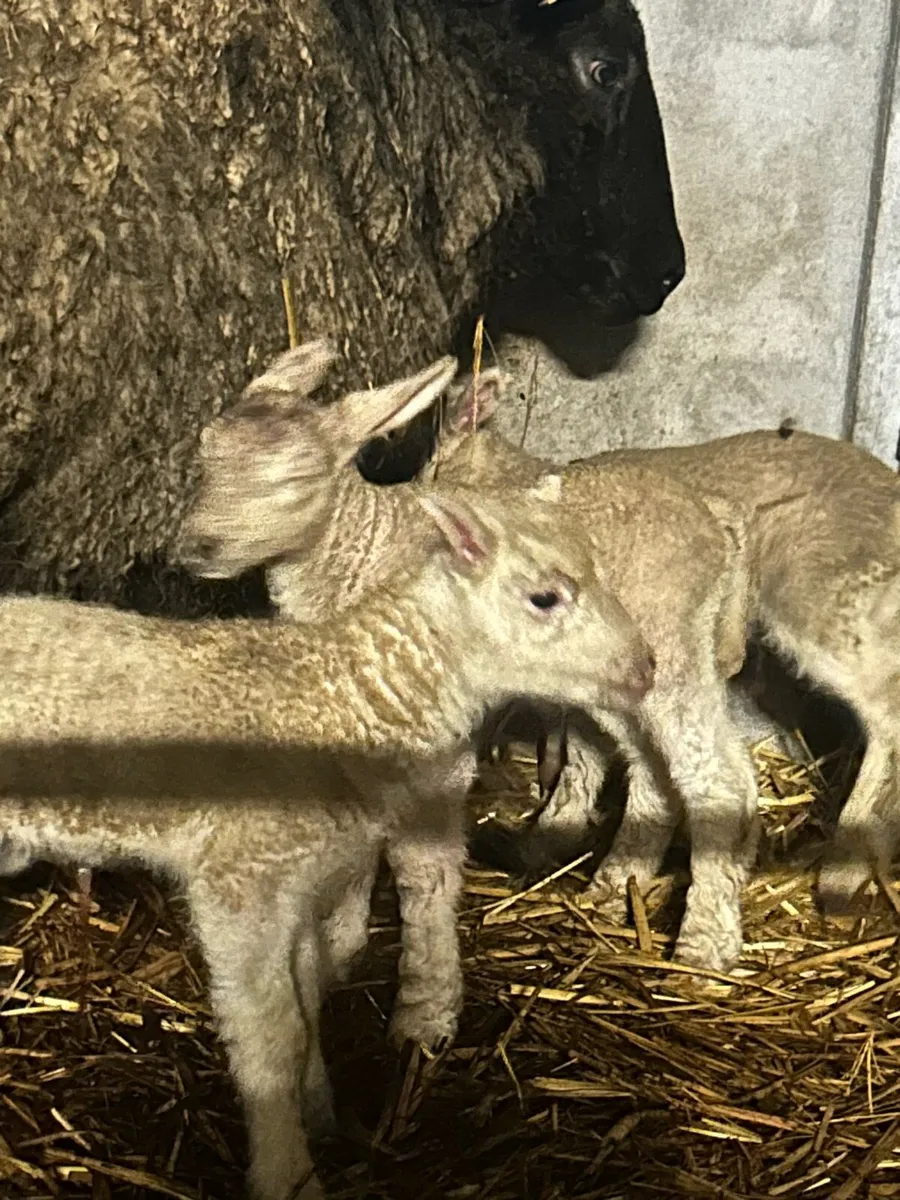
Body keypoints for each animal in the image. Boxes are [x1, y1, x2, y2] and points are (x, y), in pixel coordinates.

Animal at [179, 358, 758, 975]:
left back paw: (704, 943)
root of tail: (712, 516)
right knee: (653, 772)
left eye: (296, 478)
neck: (361, 548)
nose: (195, 548)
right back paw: (614, 882)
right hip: (620, 675)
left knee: (719, 777)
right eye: (204, 459)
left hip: (669, 643)